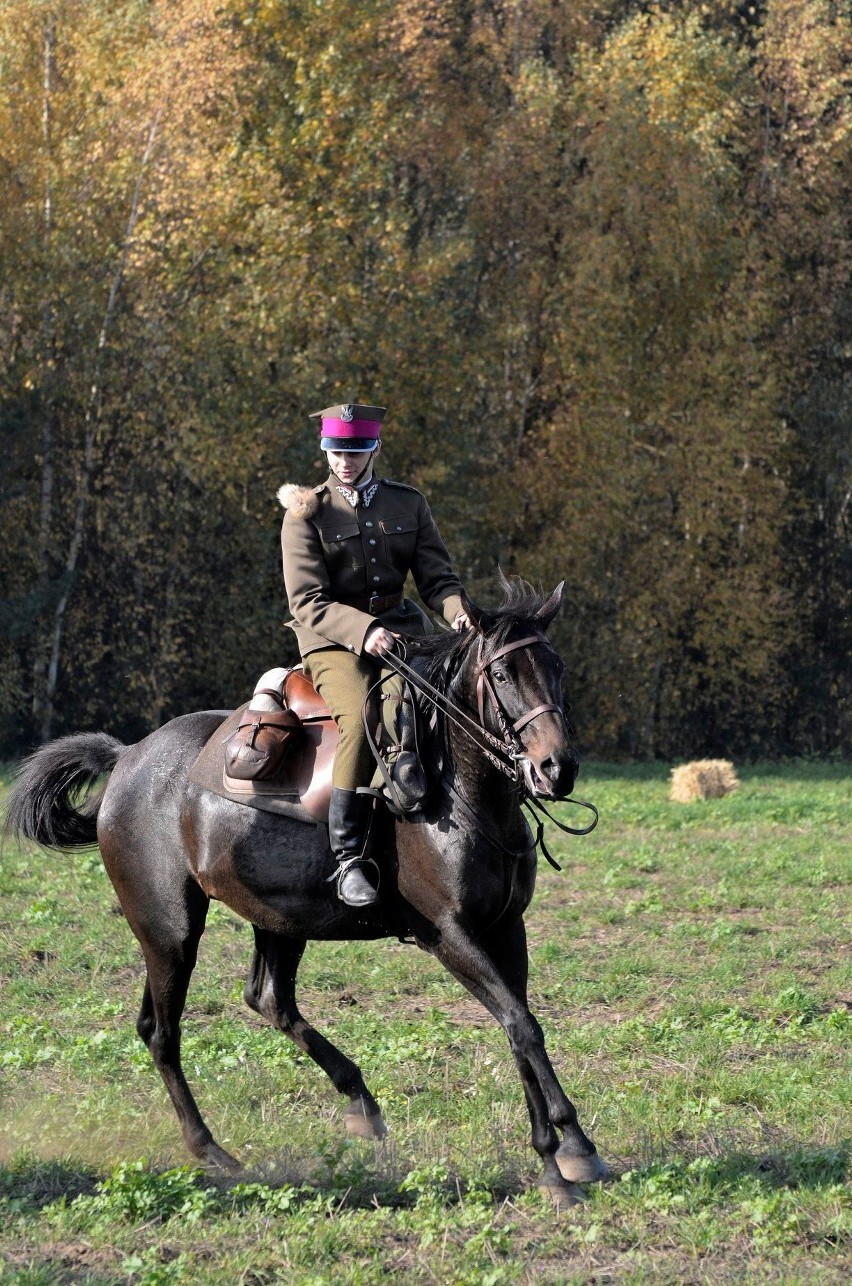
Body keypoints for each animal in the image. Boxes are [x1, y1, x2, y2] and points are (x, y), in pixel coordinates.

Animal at [3, 578, 609, 1208]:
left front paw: (570, 1150)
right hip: (169, 932)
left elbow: (522, 1028)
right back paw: (213, 1150)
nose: (557, 768)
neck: (458, 786)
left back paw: (360, 1103)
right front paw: (557, 1157)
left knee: (269, 999)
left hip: (279, 918)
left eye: (556, 666)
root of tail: (128, 758)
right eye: (503, 674)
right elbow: (520, 1024)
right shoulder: (448, 935)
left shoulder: (505, 928)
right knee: (162, 1032)